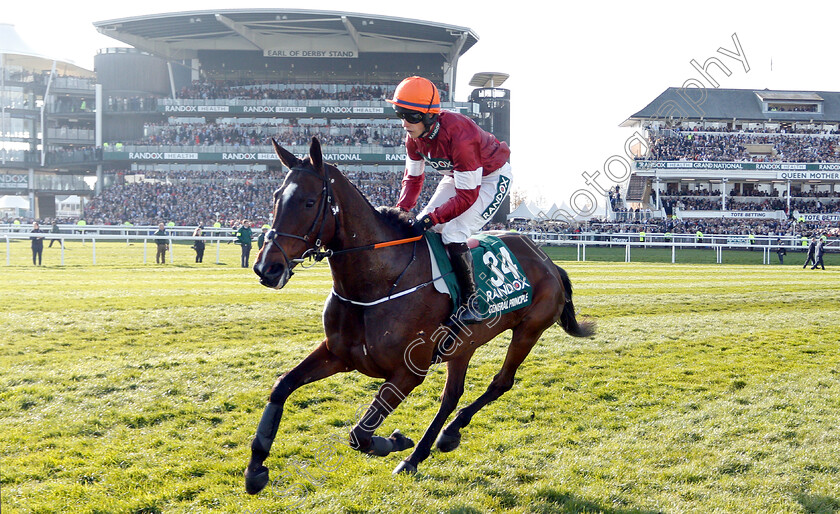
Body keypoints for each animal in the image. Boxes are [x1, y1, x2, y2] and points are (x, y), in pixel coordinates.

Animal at [246, 136, 592, 492]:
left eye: (309, 202)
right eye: (276, 197)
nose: (267, 268)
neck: (377, 281)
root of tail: (548, 260)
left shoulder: (408, 371)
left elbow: (359, 435)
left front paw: (396, 440)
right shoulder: (337, 353)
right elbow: (282, 386)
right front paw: (256, 468)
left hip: (529, 329)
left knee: (501, 382)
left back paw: (444, 436)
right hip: (464, 345)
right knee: (451, 396)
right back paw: (425, 451)